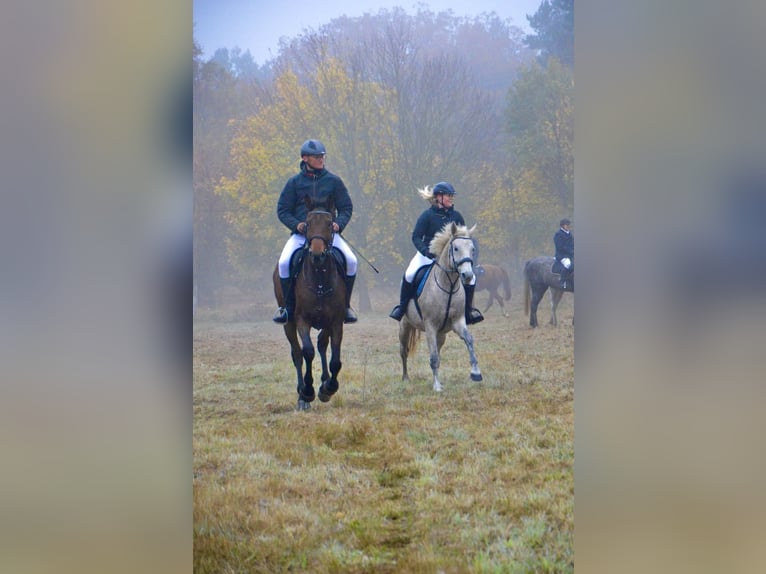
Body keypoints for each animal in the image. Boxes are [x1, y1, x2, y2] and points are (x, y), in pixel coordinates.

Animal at [273, 198, 346, 410]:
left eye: (330, 224)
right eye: (307, 223)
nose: (317, 254)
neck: (319, 277)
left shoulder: (335, 321)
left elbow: (335, 359)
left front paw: (328, 388)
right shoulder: (301, 321)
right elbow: (307, 352)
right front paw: (307, 390)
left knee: (322, 344)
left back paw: (324, 382)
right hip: (288, 324)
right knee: (297, 354)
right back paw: (302, 397)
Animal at [398, 222, 483, 392]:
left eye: (472, 249)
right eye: (455, 248)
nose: (468, 276)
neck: (448, 284)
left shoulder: (458, 321)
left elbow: (469, 340)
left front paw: (476, 372)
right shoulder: (430, 326)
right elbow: (434, 357)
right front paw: (437, 386)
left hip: (441, 334)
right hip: (405, 325)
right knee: (404, 351)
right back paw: (405, 378)